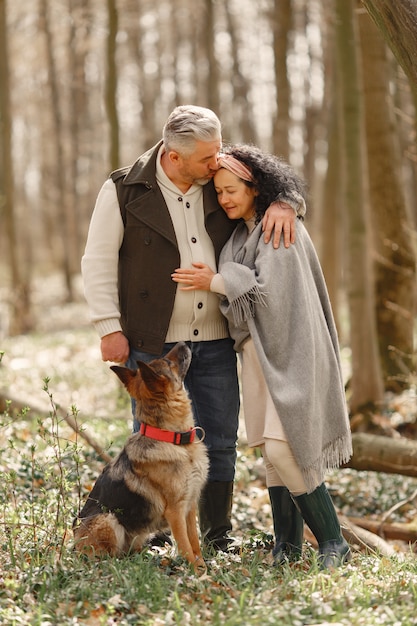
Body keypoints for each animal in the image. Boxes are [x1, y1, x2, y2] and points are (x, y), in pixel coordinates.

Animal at [72, 342, 208, 572]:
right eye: (168, 361)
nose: (184, 342)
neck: (170, 438)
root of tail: (72, 545)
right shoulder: (176, 512)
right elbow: (186, 547)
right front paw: (198, 574)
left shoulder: (189, 507)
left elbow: (195, 543)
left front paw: (204, 569)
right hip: (108, 519)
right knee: (105, 556)